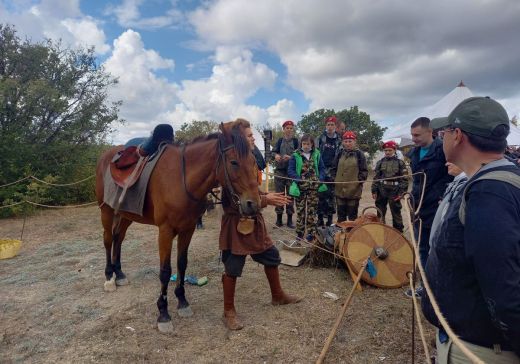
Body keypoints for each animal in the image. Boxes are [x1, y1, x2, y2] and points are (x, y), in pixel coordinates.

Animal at [95, 118, 260, 332]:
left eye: (253, 162)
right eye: (234, 162)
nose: (253, 204)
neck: (182, 179)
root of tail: (106, 156)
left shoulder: (187, 229)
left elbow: (182, 264)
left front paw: (182, 301)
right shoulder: (165, 231)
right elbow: (165, 271)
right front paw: (163, 313)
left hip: (126, 213)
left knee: (118, 237)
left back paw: (119, 273)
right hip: (106, 210)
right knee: (108, 239)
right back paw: (109, 277)